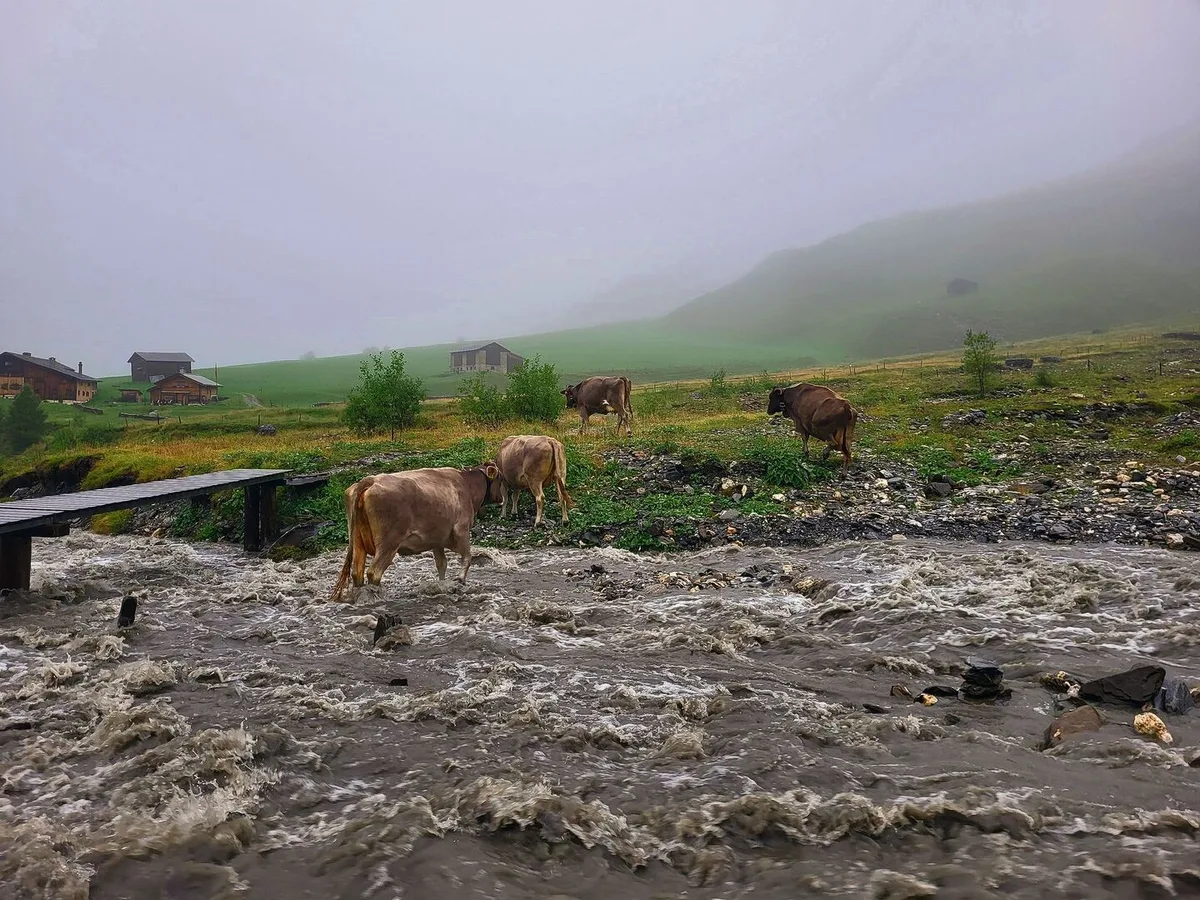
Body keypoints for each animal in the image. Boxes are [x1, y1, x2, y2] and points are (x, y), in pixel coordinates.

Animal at [330, 464, 503, 601]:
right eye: (500, 478)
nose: (502, 498)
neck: (466, 485)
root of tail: (370, 480)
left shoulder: (437, 539)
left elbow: (442, 564)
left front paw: (441, 584)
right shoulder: (461, 530)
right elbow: (467, 557)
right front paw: (459, 580)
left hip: (357, 540)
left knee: (357, 572)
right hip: (388, 542)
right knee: (374, 572)